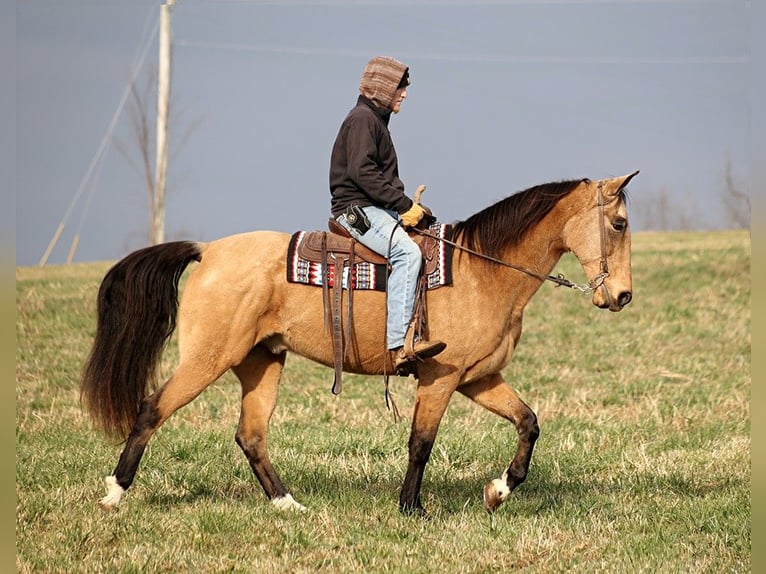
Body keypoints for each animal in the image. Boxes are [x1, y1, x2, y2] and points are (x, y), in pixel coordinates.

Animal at [81, 171, 640, 516]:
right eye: (619, 223)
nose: (622, 296)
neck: (482, 270)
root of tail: (207, 251)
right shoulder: (440, 378)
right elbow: (421, 443)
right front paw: (411, 507)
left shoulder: (478, 378)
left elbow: (528, 422)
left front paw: (499, 490)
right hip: (207, 359)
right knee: (153, 409)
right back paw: (113, 494)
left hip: (262, 362)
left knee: (251, 436)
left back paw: (287, 504)